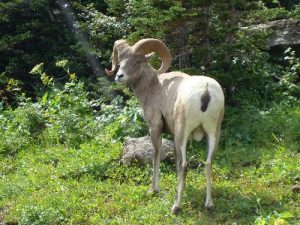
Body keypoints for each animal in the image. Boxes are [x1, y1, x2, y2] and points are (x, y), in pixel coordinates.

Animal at [106, 38, 225, 213]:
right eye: (121, 62)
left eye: (138, 61)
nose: (119, 76)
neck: (154, 87)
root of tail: (205, 92)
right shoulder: (174, 137)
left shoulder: (155, 128)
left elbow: (156, 157)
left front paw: (153, 190)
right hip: (213, 134)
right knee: (208, 164)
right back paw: (208, 205)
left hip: (183, 134)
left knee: (184, 166)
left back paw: (176, 207)